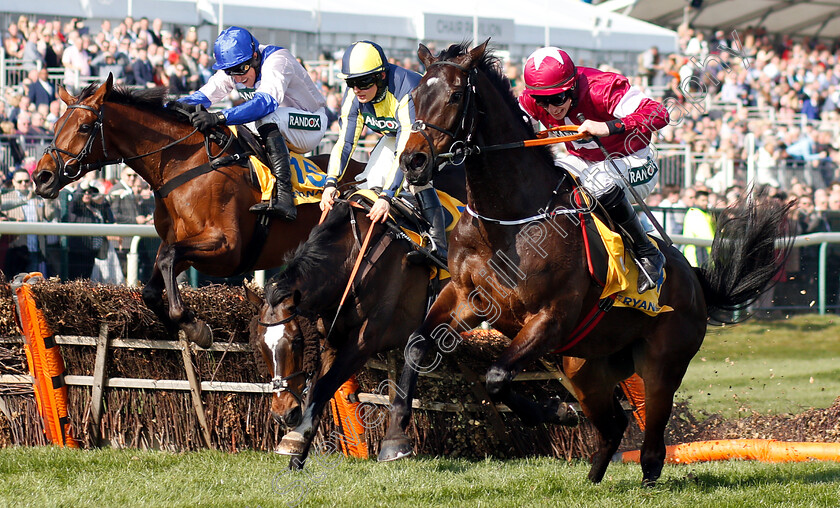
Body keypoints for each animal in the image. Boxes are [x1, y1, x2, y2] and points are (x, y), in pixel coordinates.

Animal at [32, 75, 362, 348]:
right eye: (56, 125)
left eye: (85, 126)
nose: (42, 177)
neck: (186, 164)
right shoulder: (180, 242)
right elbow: (155, 280)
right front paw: (178, 325)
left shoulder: (227, 248)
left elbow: (168, 259)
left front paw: (192, 324)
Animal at [378, 40, 792, 484]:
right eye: (414, 98)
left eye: (456, 95)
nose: (413, 161)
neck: (507, 219)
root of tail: (695, 280)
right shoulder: (464, 296)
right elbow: (417, 345)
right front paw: (395, 438)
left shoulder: (550, 316)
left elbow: (496, 376)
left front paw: (556, 411)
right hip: (585, 366)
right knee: (613, 425)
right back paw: (593, 478)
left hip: (662, 363)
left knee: (653, 438)